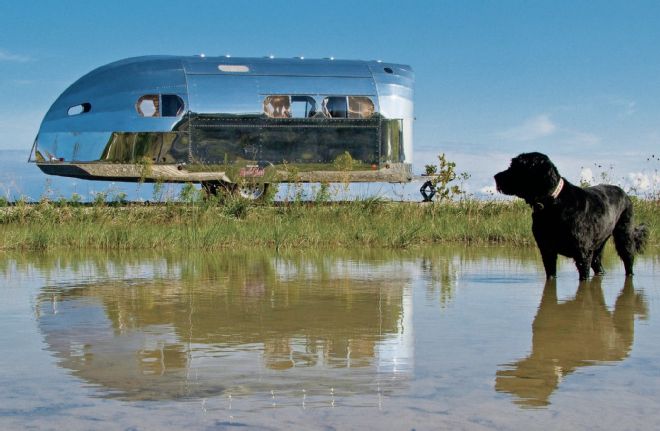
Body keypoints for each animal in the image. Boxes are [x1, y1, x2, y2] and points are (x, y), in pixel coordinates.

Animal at [492, 152, 648, 280]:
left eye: (517, 166)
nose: (496, 177)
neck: (552, 204)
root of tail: (624, 193)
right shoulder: (547, 250)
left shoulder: (582, 254)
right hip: (598, 246)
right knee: (599, 265)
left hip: (624, 236)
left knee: (628, 262)